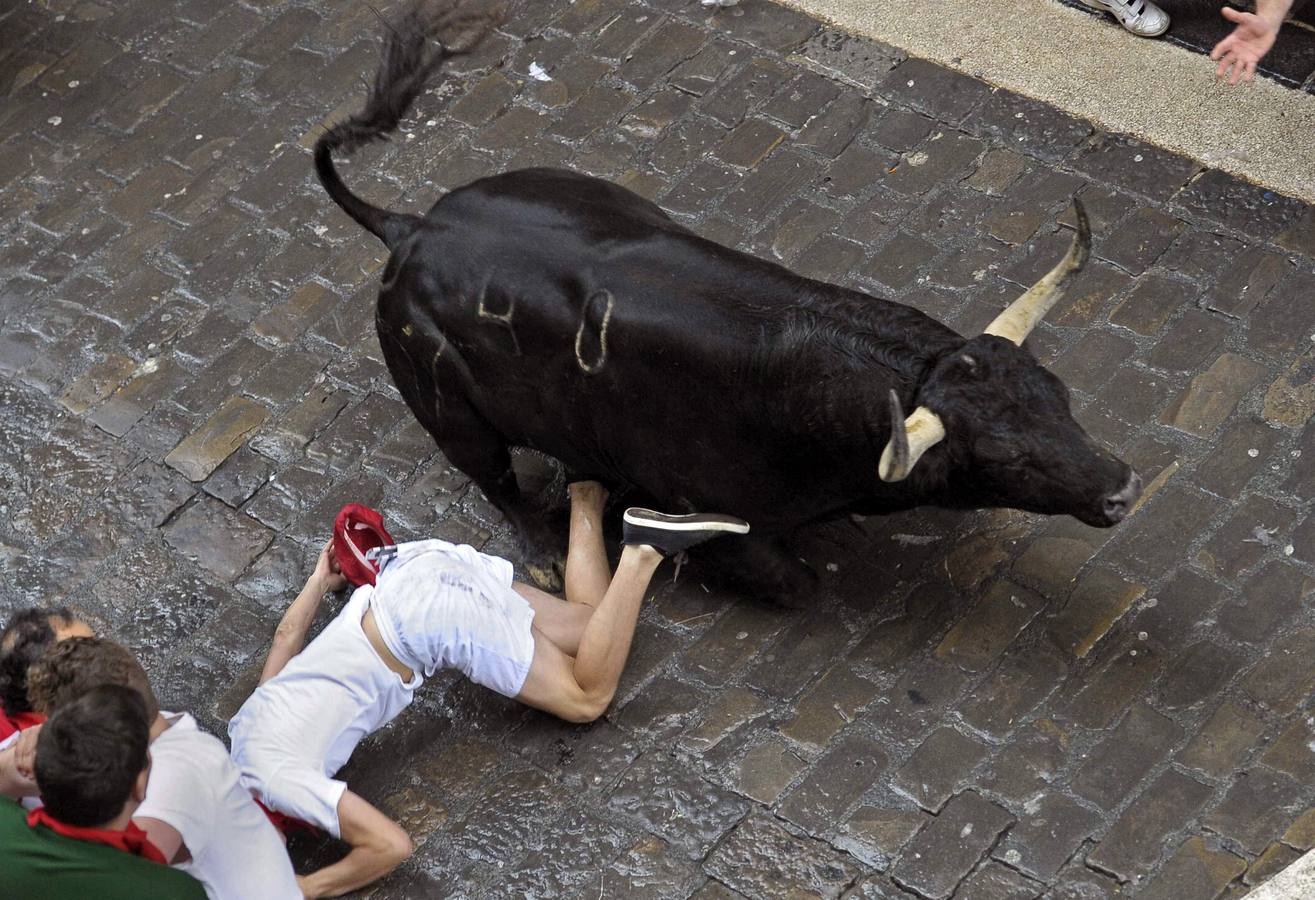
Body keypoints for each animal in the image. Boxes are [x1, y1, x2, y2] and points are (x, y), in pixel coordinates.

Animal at [310, 3, 1141, 605]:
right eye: (1000, 453)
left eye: (1058, 394)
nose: (1122, 488)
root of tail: (409, 226)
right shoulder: (732, 529)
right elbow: (796, 583)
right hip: (450, 412)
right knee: (497, 484)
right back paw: (543, 555)